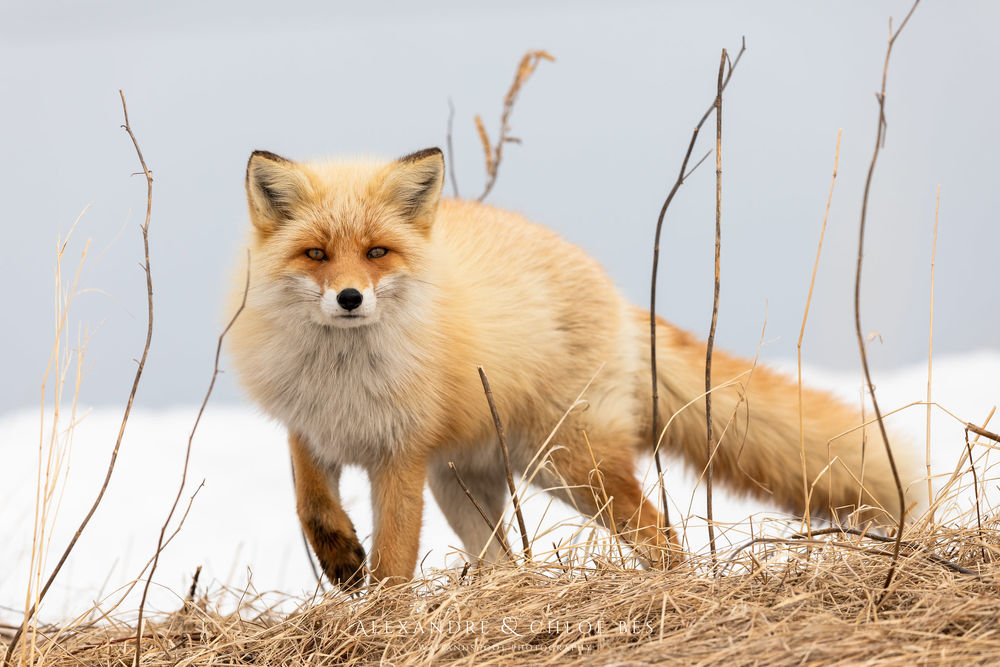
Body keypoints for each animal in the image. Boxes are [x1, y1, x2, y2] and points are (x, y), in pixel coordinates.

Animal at [228, 146, 919, 586]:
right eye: (316, 254)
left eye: (376, 253)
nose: (349, 298)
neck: (341, 377)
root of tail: (614, 293)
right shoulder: (310, 428)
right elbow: (313, 507)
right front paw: (343, 563)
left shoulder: (400, 453)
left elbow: (396, 560)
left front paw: (386, 620)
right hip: (463, 482)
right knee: (505, 565)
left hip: (572, 467)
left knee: (662, 537)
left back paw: (677, 590)